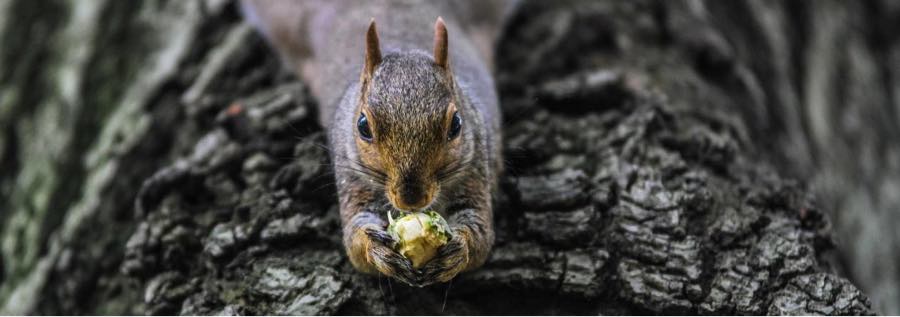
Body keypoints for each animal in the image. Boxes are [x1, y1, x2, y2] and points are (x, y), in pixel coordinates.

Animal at [239, 0, 506, 286]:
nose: (411, 198)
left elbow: (481, 235)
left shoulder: (476, 168)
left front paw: (458, 250)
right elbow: (355, 240)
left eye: (456, 124)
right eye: (363, 126)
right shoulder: (353, 180)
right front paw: (376, 250)